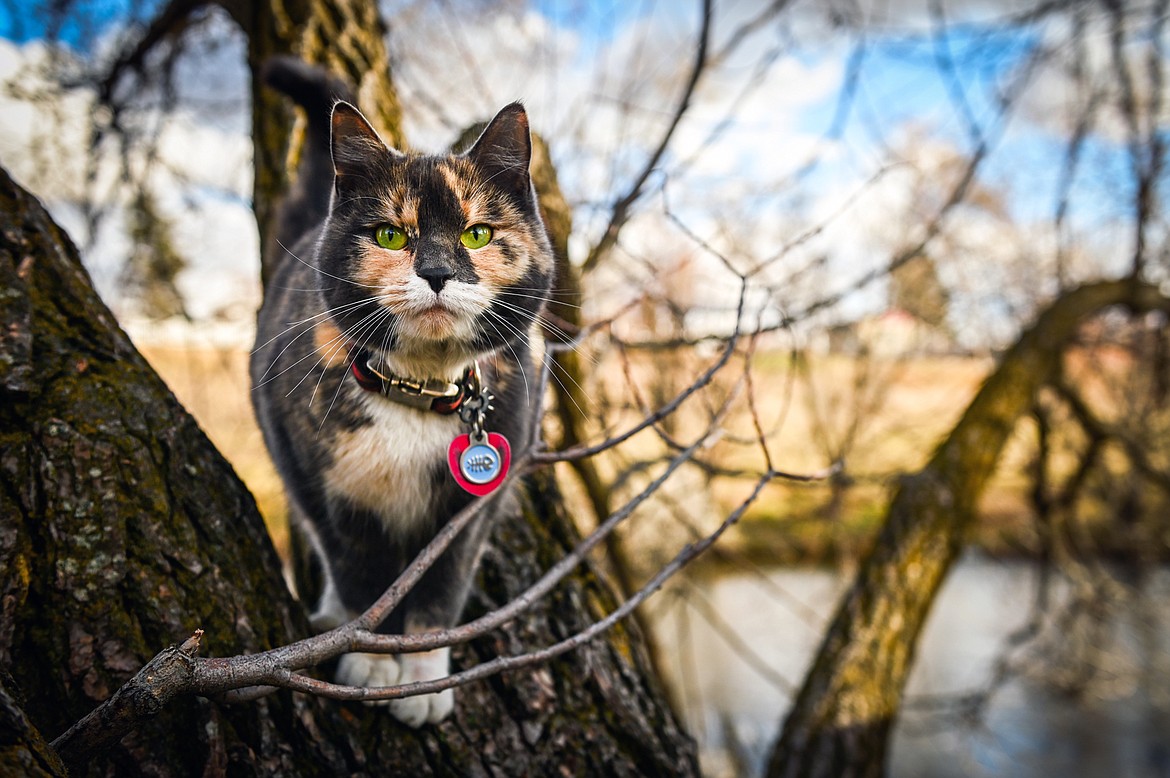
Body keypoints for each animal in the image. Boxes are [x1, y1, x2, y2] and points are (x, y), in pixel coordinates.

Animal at [251, 56, 552, 730]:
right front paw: (370, 664)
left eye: (476, 234)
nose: (437, 272)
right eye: (391, 235)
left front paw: (422, 680)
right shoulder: (325, 482)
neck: (419, 388)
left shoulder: (471, 509)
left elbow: (441, 588)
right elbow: (359, 570)